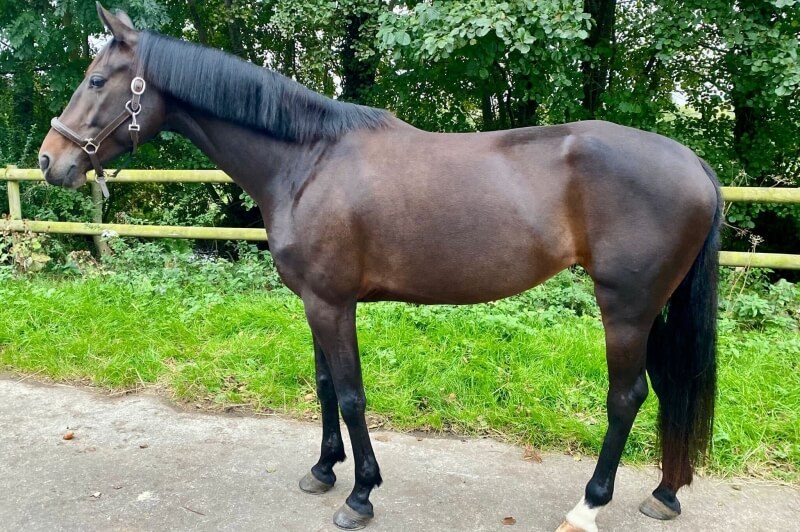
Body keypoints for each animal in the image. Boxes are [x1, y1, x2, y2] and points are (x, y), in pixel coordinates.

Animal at [38, 5, 721, 531]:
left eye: (97, 79)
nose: (50, 161)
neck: (307, 161)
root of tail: (693, 162)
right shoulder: (313, 301)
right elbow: (322, 387)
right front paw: (322, 470)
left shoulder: (332, 303)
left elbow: (350, 394)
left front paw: (361, 495)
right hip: (654, 308)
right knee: (669, 390)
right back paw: (664, 493)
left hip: (625, 307)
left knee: (627, 396)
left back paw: (587, 506)